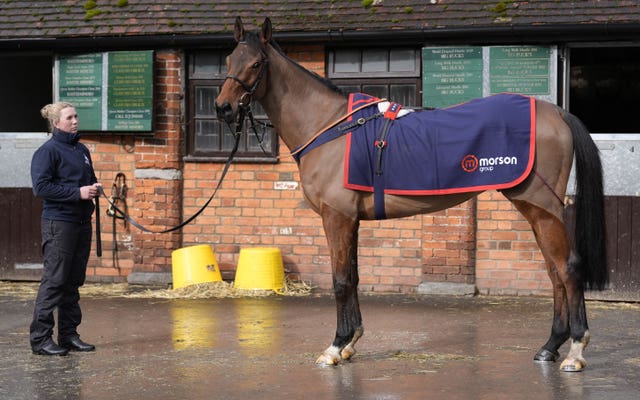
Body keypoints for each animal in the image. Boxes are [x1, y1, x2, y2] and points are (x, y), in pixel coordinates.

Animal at [214, 15, 604, 372]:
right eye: (229, 60)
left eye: (257, 63)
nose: (223, 108)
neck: (330, 128)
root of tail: (556, 112)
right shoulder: (351, 220)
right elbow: (354, 277)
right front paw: (351, 342)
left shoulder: (336, 217)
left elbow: (340, 281)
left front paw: (335, 347)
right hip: (534, 207)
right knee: (554, 271)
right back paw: (550, 347)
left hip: (540, 206)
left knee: (567, 268)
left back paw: (575, 351)